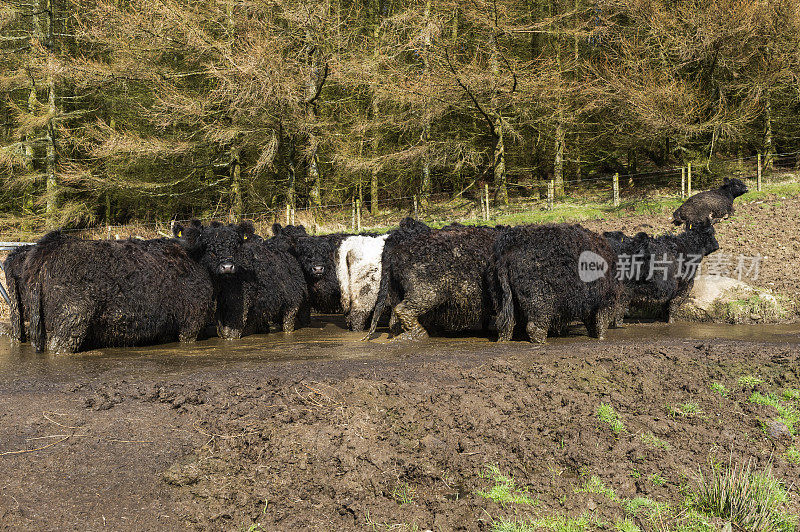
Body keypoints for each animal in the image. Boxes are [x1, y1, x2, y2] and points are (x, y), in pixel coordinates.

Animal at [368, 222, 500, 338]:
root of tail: (396, 251)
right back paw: (421, 334)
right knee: (403, 310)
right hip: (426, 292)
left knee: (394, 321)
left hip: (396, 291)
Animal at [494, 222, 624, 342]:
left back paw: (503, 340)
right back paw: (542, 341)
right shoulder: (606, 297)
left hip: (502, 294)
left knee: (505, 324)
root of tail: (508, 250)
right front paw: (601, 337)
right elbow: (601, 319)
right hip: (539, 295)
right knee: (534, 325)